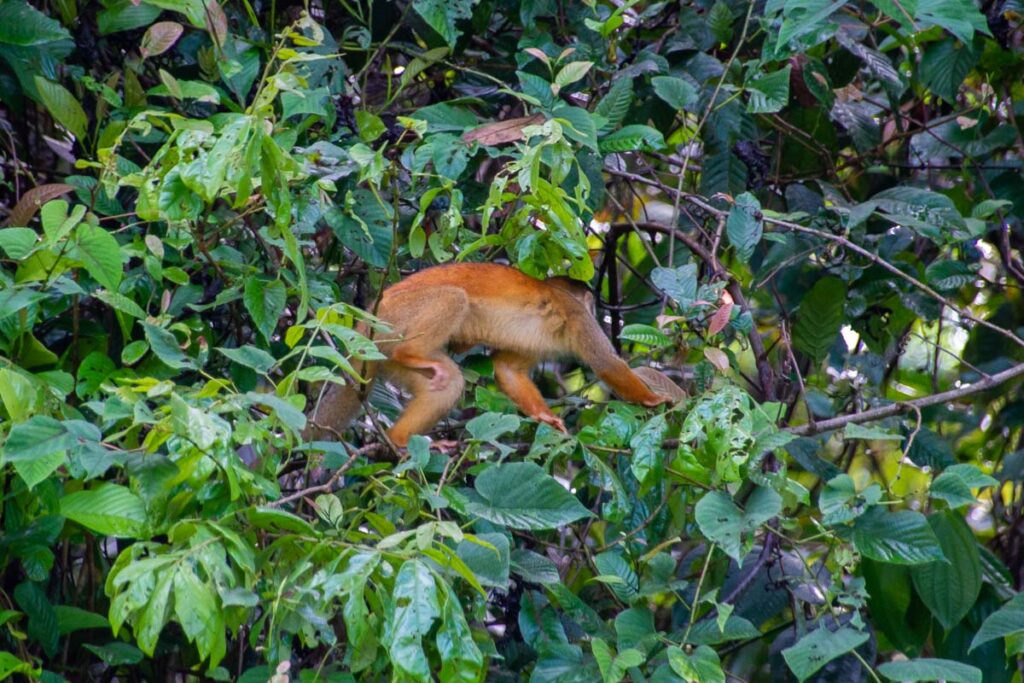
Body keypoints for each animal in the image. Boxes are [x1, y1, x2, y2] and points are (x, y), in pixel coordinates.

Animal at [305, 263, 684, 448]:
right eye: (591, 306)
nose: (596, 309)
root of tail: (362, 321)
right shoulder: (577, 315)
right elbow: (606, 363)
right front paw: (652, 400)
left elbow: (508, 371)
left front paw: (544, 417)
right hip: (393, 319)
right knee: (454, 297)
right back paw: (413, 353)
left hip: (383, 352)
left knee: (448, 382)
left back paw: (399, 442)